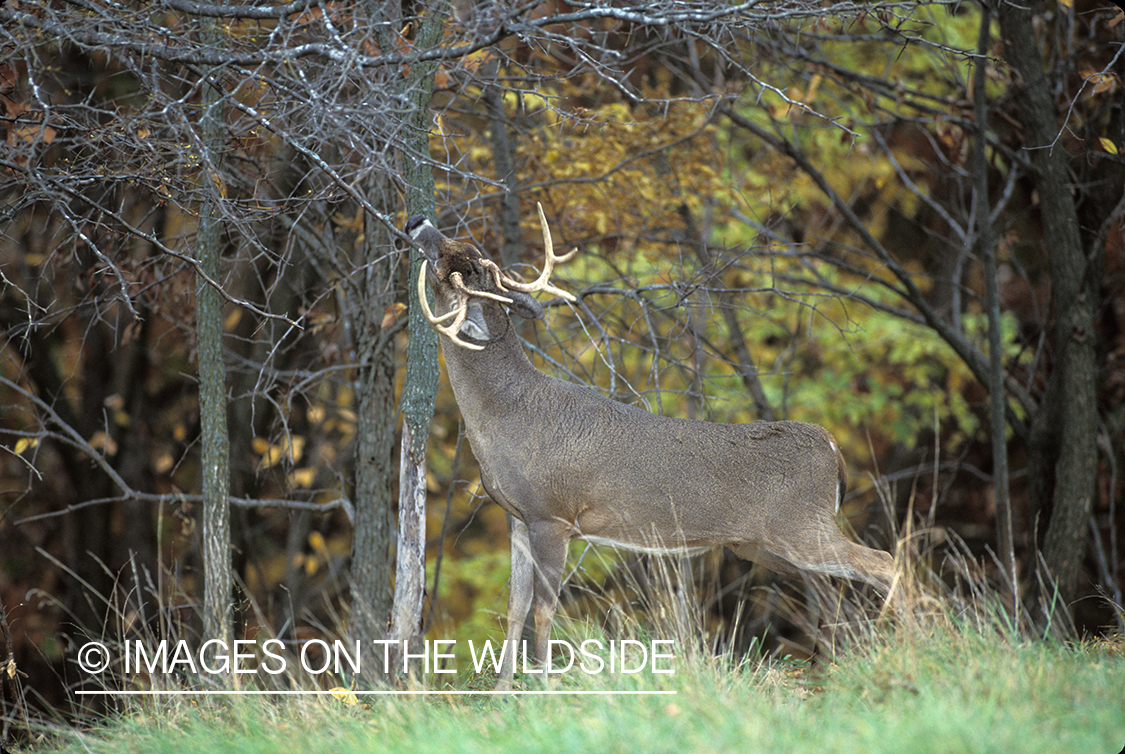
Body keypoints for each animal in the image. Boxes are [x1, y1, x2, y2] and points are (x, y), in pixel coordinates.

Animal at [409, 207, 900, 693]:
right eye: (460, 252)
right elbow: (515, 606)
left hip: (800, 526)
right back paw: (836, 669)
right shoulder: (517, 515)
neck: (507, 413)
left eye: (450, 268)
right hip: (765, 544)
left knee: (884, 562)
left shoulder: (552, 514)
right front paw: (502, 691)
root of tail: (832, 446)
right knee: (832, 593)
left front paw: (543, 688)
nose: (418, 222)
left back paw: (903, 646)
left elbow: (544, 609)